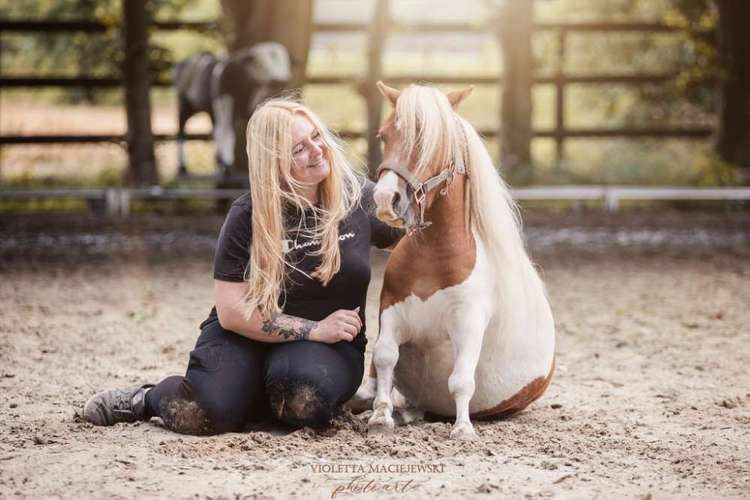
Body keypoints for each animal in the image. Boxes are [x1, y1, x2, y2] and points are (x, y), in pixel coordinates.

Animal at [175, 42, 292, 180]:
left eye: (285, 63)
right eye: (261, 64)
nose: (280, 80)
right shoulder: (225, 103)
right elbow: (227, 133)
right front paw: (227, 167)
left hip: (209, 109)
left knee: (215, 131)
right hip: (185, 103)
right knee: (182, 130)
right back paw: (183, 167)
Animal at [358, 83, 560, 442]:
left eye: (429, 141)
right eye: (383, 135)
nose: (384, 199)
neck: (434, 256)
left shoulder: (467, 322)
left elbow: (461, 379)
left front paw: (463, 429)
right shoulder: (391, 310)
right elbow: (384, 357)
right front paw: (381, 416)